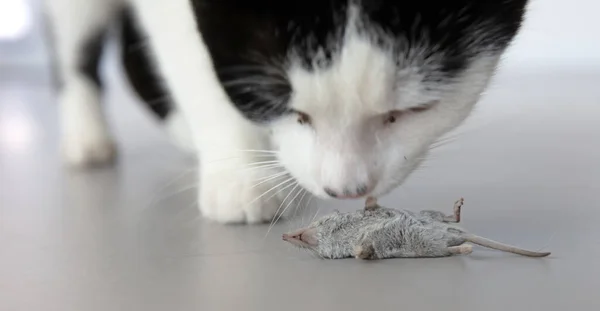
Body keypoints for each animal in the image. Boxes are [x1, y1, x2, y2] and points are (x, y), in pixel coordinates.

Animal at [44, 0, 528, 224]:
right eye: (287, 108)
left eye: (413, 109)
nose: (346, 189)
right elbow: (194, 62)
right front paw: (241, 173)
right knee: (77, 50)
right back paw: (87, 137)